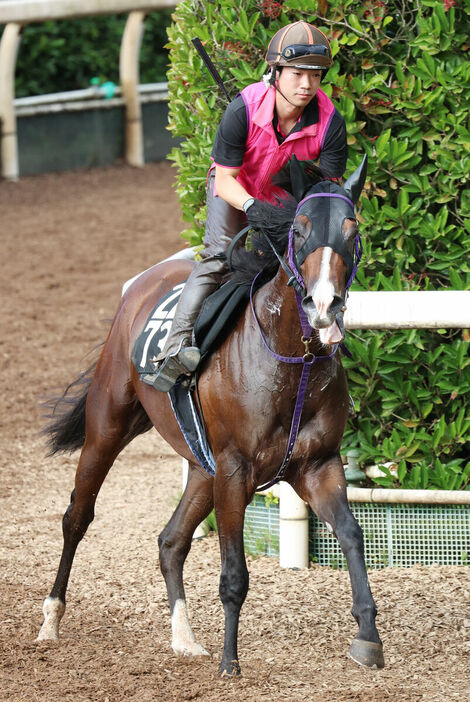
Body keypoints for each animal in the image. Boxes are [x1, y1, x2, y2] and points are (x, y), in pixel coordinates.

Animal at [35, 158, 382, 676]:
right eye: (298, 229)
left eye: (351, 228)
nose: (323, 306)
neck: (291, 360)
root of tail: (144, 281)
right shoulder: (235, 470)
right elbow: (234, 572)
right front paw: (229, 661)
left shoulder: (318, 465)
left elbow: (352, 535)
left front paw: (368, 637)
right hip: (108, 425)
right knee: (77, 516)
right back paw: (51, 622)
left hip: (202, 466)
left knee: (171, 540)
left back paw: (184, 637)